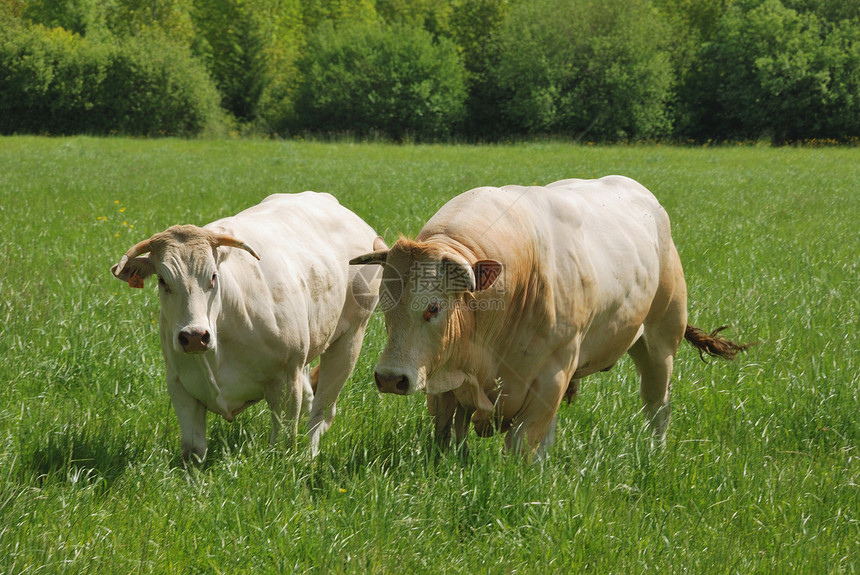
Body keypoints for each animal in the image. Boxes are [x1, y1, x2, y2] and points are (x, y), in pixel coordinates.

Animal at [112, 194, 382, 464]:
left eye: (213, 276)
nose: (194, 336)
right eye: (162, 281)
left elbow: (282, 444)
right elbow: (193, 451)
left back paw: (310, 455)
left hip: (349, 340)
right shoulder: (180, 387)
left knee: (321, 410)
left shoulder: (286, 381)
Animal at [352, 176, 748, 460]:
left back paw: (656, 454)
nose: (390, 378)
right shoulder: (444, 382)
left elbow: (521, 445)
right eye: (384, 303)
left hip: (660, 340)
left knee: (657, 406)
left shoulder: (550, 377)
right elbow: (448, 439)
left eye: (433, 307)